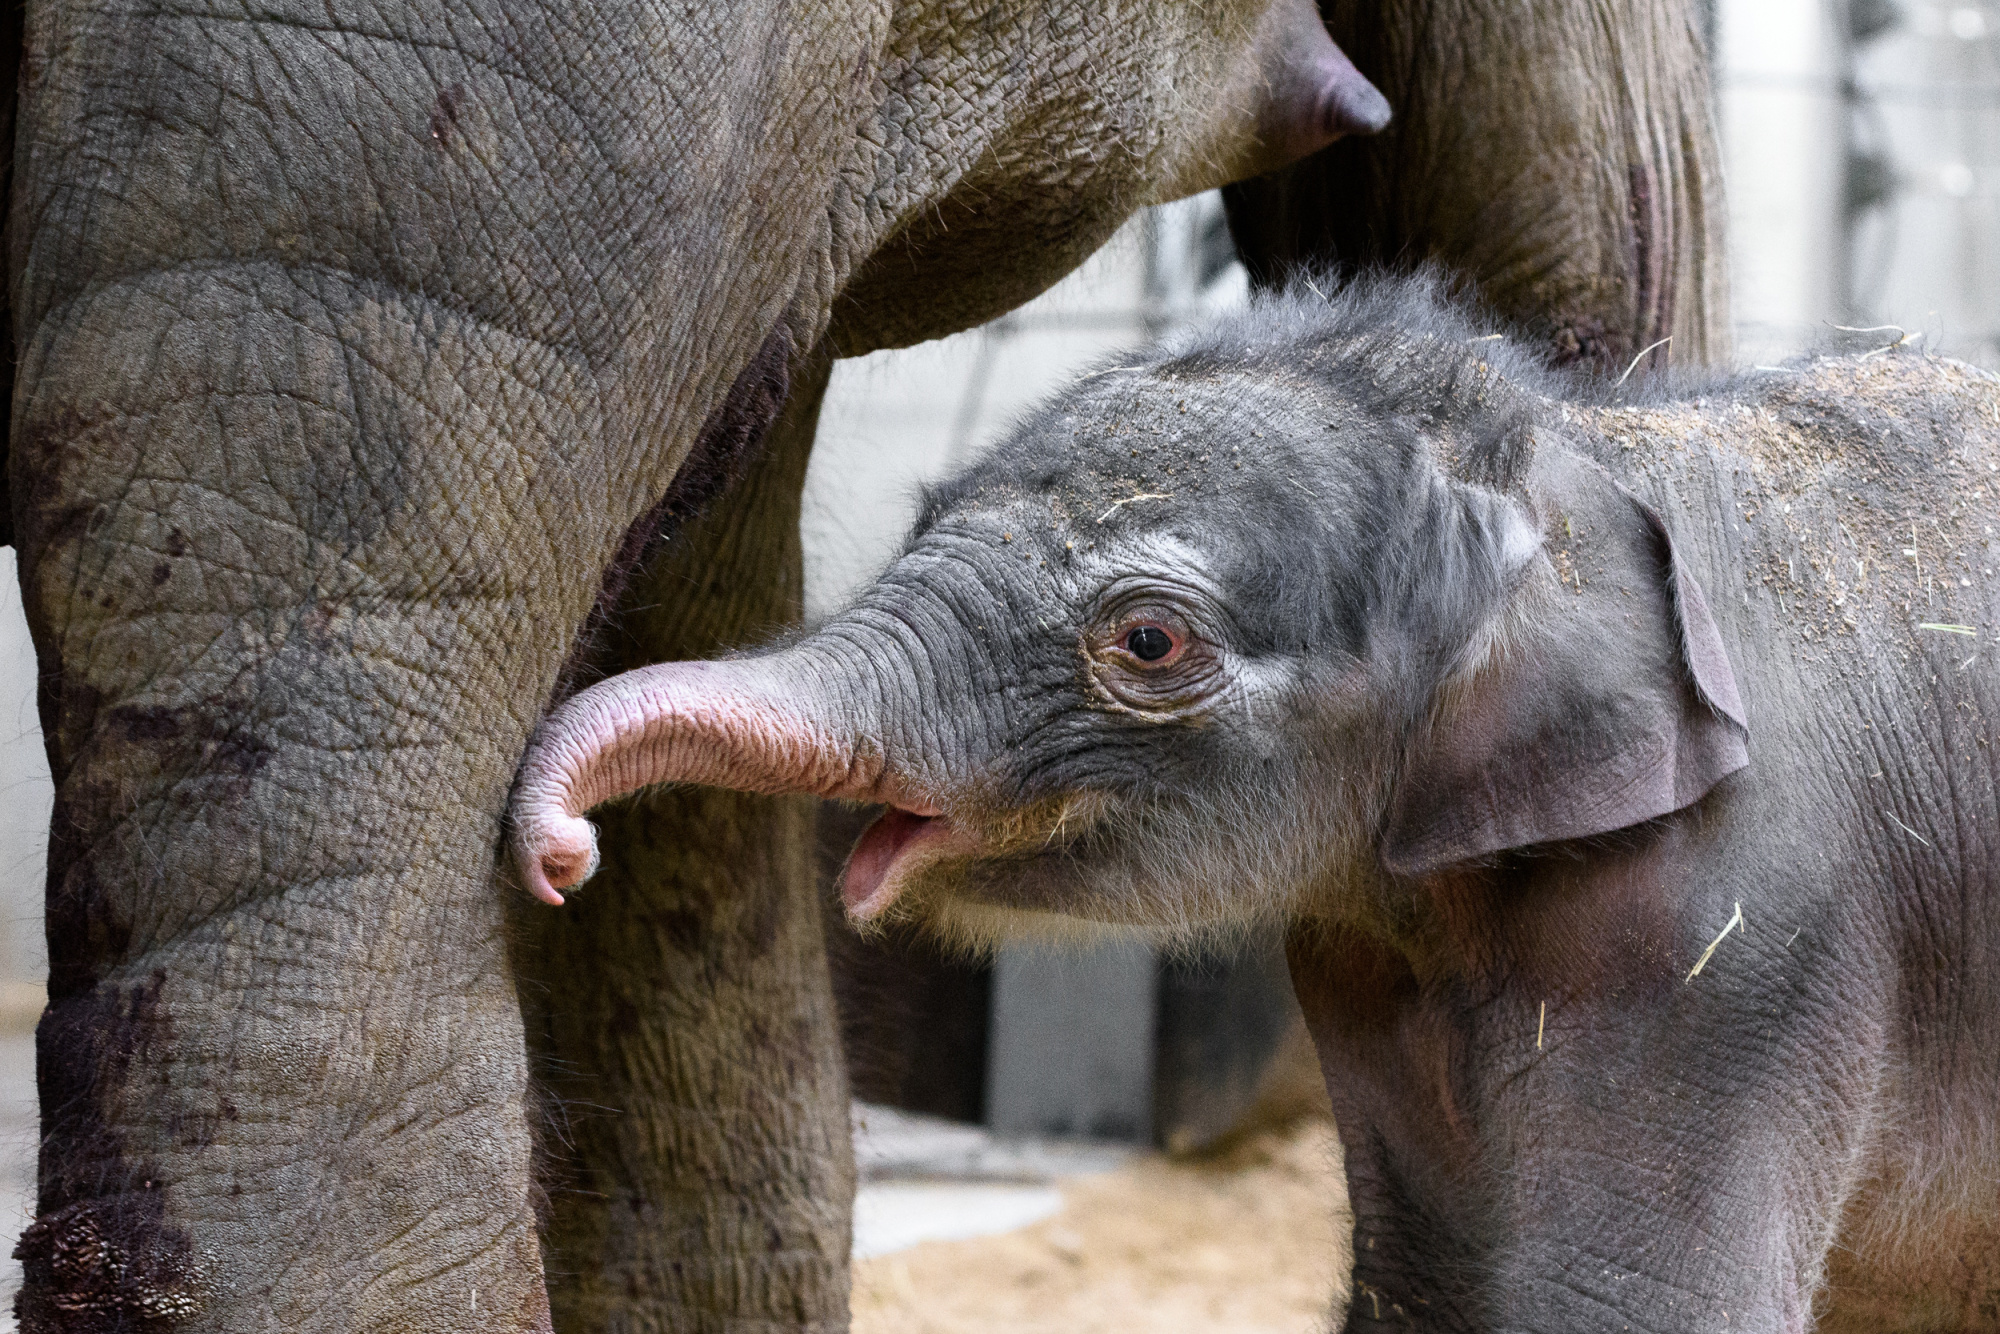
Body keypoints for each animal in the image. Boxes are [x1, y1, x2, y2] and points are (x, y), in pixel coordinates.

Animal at [516, 276, 2000, 1328]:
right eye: (924, 506)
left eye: (1148, 640)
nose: (558, 853)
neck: (1560, 454)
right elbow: (1422, 1284)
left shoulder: (1738, 934)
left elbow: (1628, 1305)